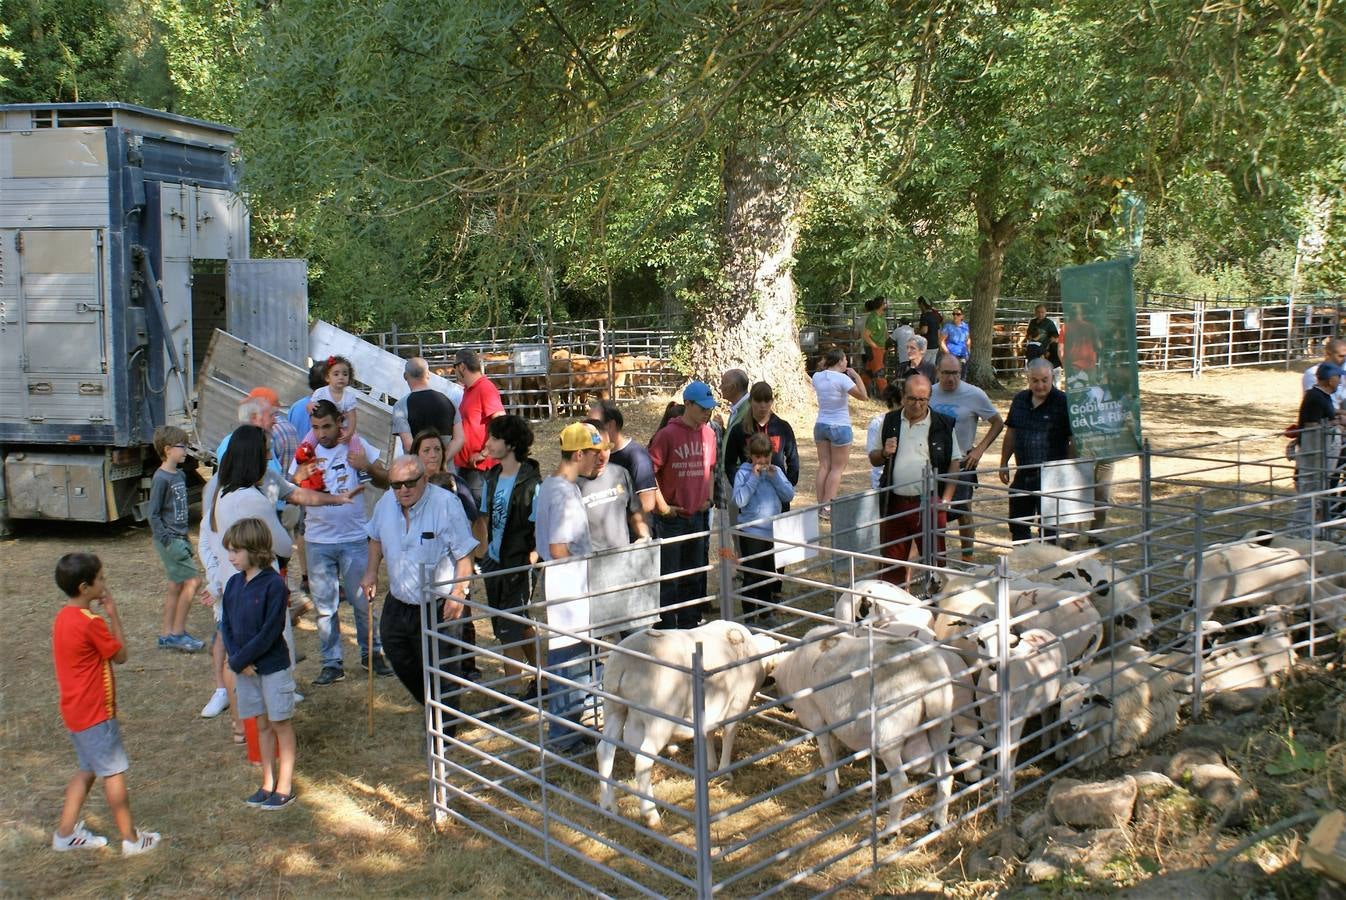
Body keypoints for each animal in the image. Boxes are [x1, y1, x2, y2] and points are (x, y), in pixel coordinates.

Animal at [597, 621, 780, 823]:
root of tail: (626, 661)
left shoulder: (712, 708)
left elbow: (709, 734)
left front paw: (711, 764)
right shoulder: (737, 705)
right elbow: (728, 735)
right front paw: (725, 771)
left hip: (614, 708)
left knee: (604, 750)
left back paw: (607, 804)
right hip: (660, 717)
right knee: (643, 760)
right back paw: (650, 814)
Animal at [769, 629, 958, 834]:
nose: (784, 708)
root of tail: (925, 673)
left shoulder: (817, 718)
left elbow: (826, 755)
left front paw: (831, 790)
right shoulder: (832, 720)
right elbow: (834, 753)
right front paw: (832, 782)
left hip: (889, 735)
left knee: (901, 782)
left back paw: (891, 829)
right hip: (940, 727)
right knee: (946, 774)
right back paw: (939, 822)